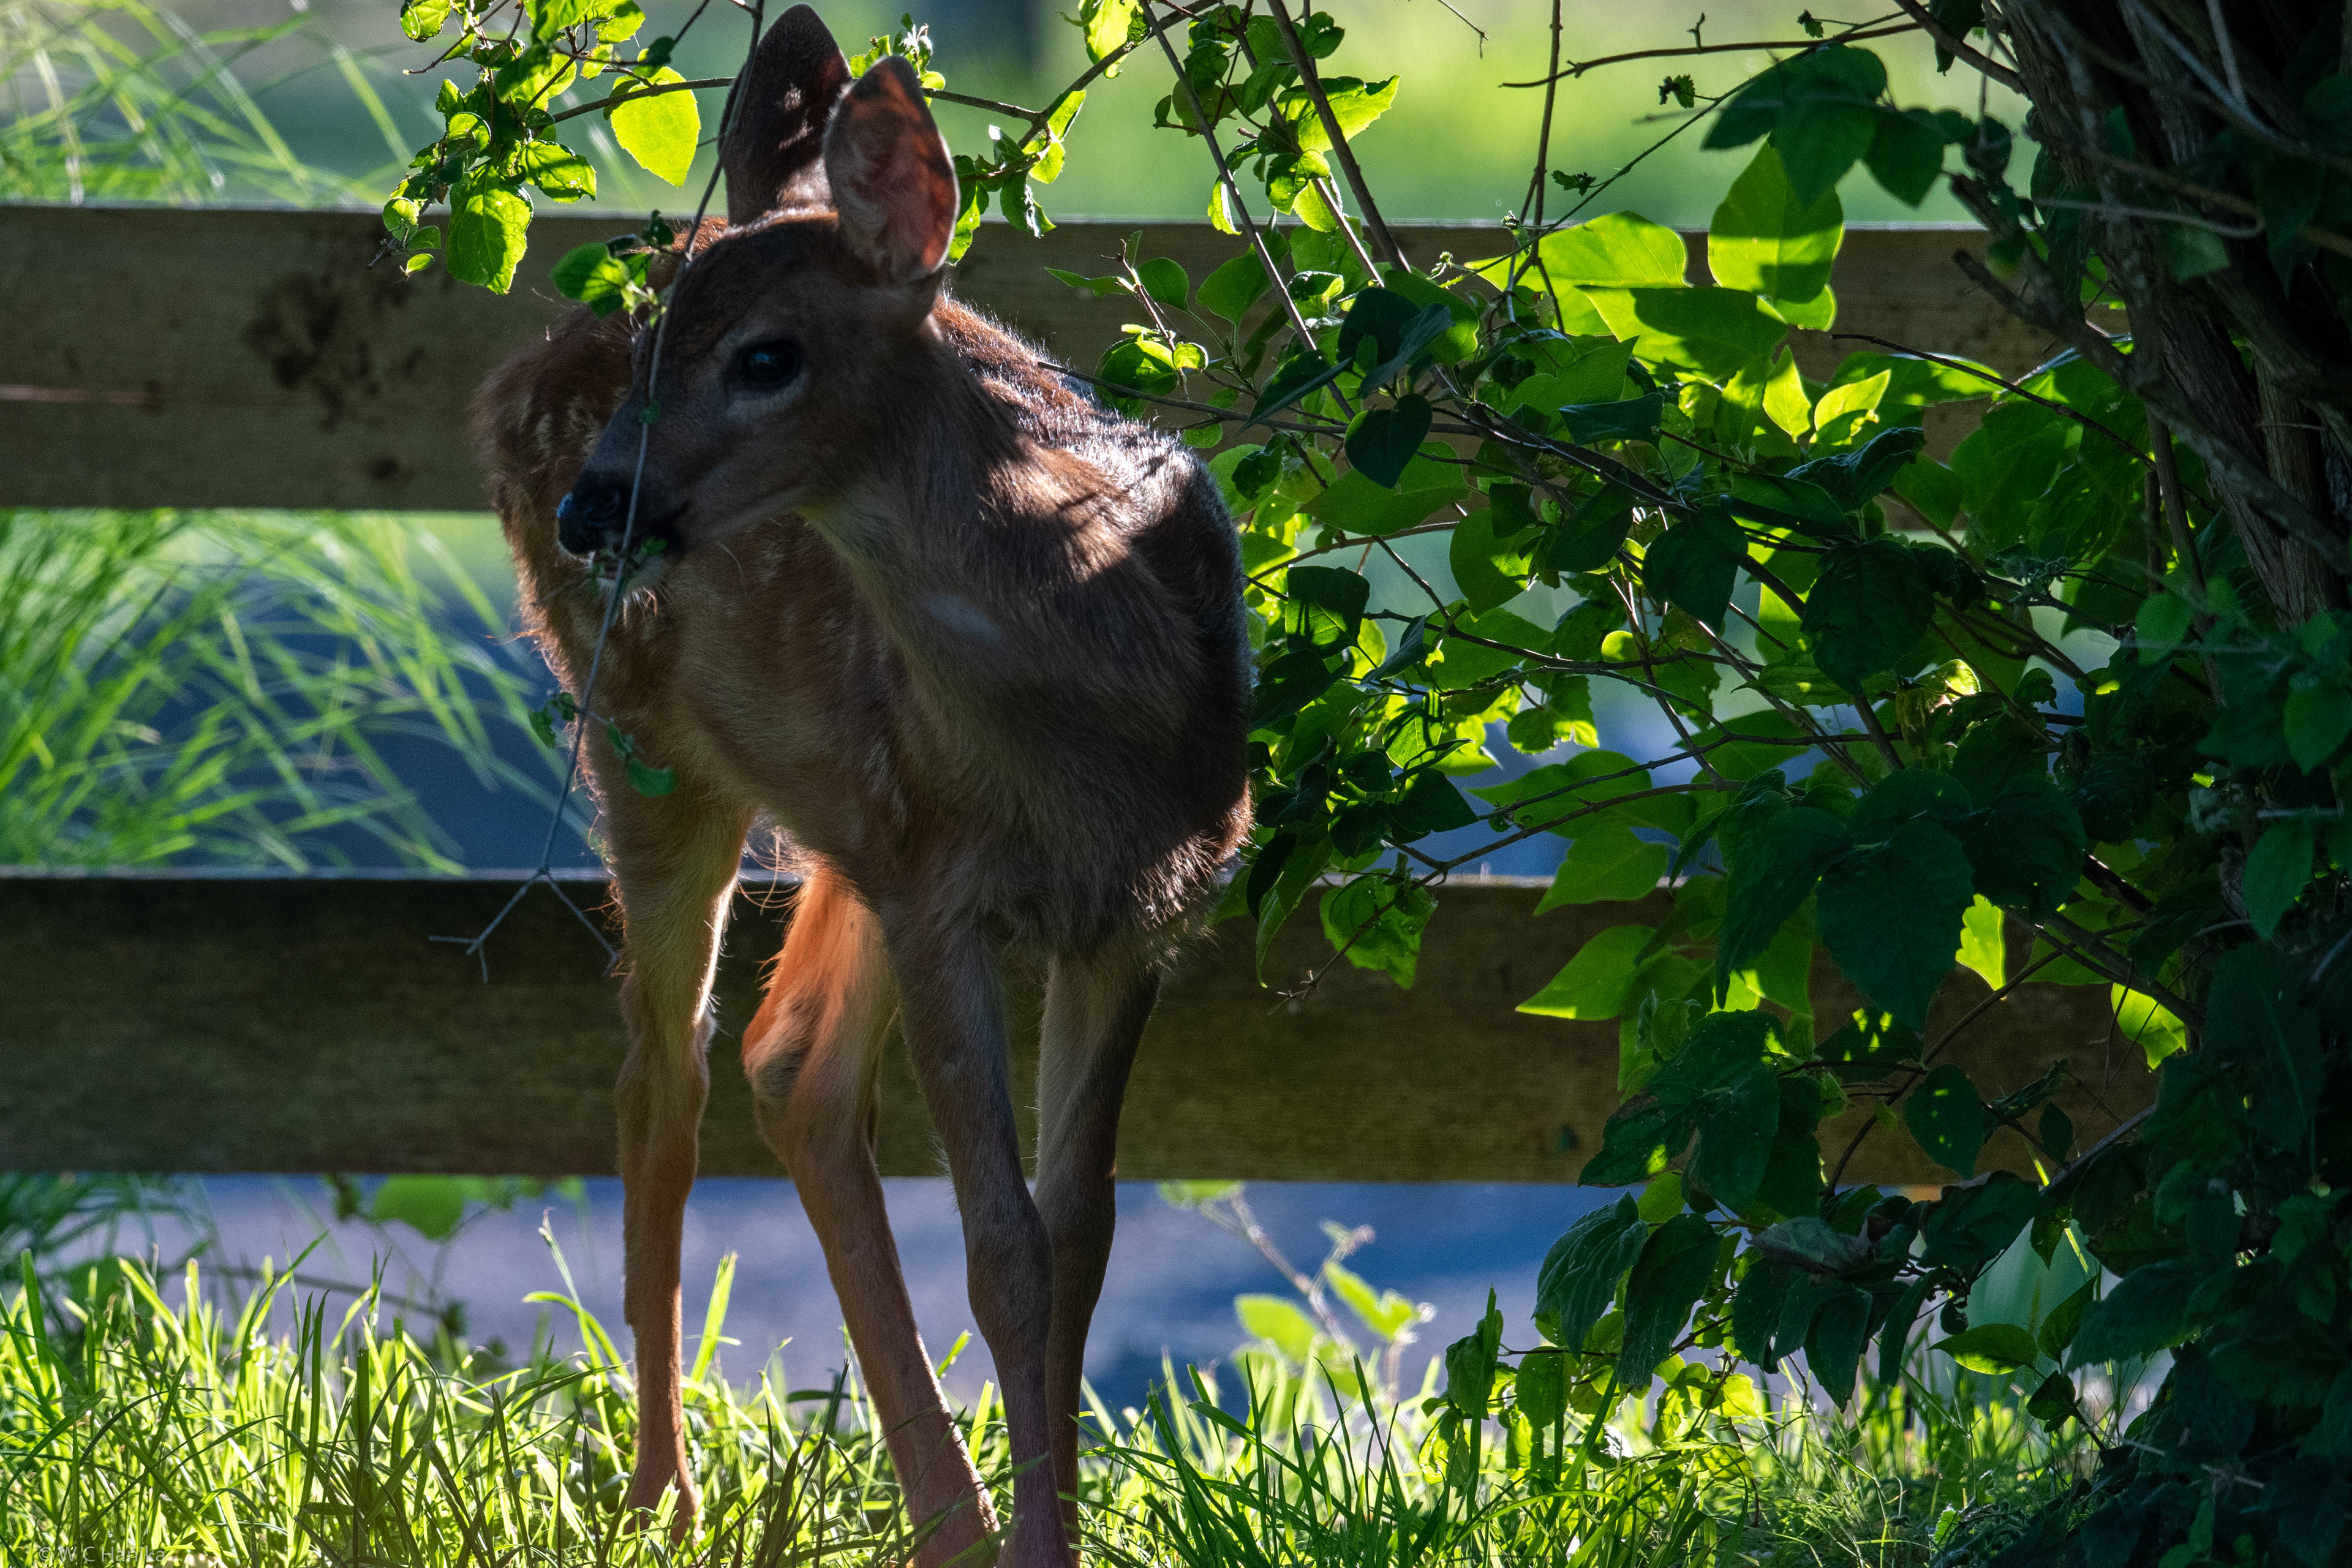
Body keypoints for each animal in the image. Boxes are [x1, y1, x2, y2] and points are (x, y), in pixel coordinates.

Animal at [468, 9, 1251, 1565]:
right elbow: (1005, 1246)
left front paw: (1047, 1527)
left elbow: (1081, 1231)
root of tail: (514, 377)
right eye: (660, 342)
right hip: (654, 754)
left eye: (766, 355)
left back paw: (940, 1509)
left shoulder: (1135, 908)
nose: (598, 504)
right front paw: (1039, 1545)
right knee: (665, 1073)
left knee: (795, 1066)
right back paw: (662, 1494)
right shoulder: (942, 882)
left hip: (849, 822)